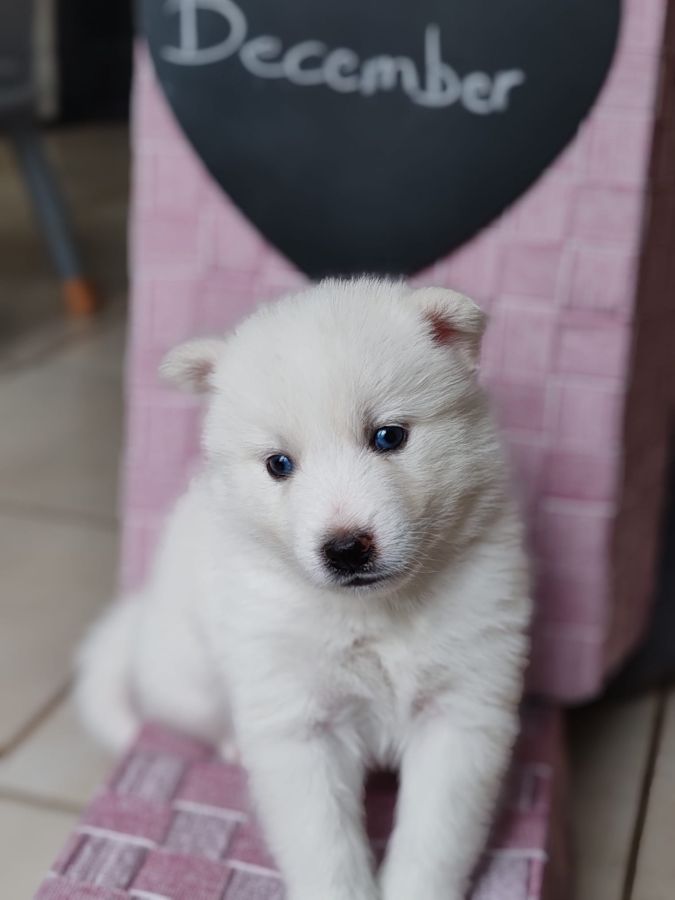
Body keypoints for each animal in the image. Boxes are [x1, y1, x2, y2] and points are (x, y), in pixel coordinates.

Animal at [76, 278, 531, 900]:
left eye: (389, 436)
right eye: (279, 464)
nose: (345, 549)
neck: (376, 613)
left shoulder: (462, 707)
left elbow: (435, 838)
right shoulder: (297, 722)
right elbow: (325, 845)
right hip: (192, 677)